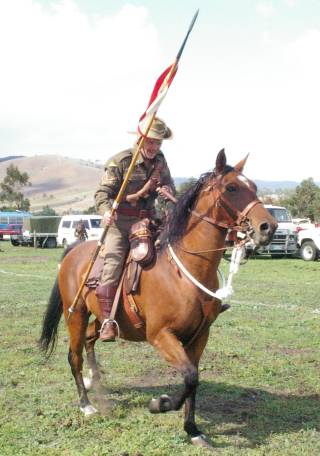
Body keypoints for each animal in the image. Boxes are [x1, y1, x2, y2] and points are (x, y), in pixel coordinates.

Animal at [38, 149, 278, 446]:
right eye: (231, 188)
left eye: (254, 186)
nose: (269, 227)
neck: (183, 272)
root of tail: (74, 249)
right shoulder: (160, 335)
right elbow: (190, 378)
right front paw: (159, 404)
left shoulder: (199, 337)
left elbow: (193, 381)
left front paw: (193, 430)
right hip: (77, 315)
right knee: (74, 357)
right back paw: (87, 404)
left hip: (102, 321)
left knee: (91, 339)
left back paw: (95, 378)